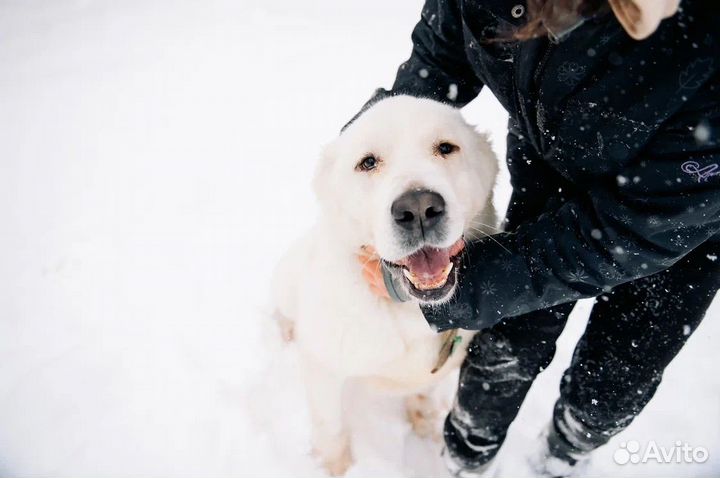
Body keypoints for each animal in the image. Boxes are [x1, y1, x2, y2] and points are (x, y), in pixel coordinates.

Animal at [272, 95, 498, 476]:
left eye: (446, 147)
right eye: (368, 162)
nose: (419, 208)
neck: (407, 311)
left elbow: (423, 396)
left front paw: (425, 427)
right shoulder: (322, 367)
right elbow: (331, 429)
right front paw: (339, 468)